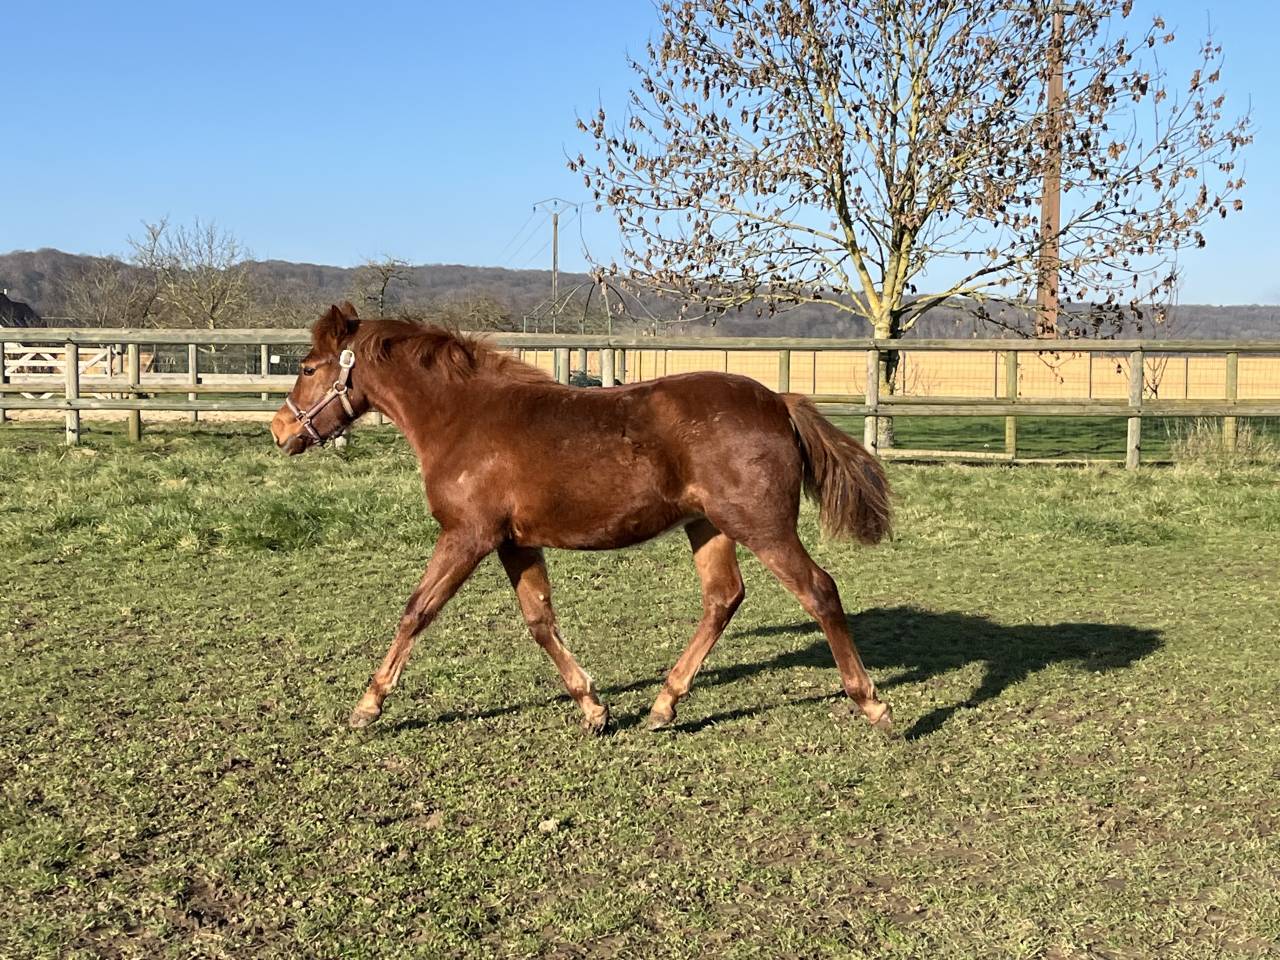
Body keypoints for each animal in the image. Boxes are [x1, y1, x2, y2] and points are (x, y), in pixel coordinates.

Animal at [270, 303, 894, 734]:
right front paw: (594, 708)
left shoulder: (467, 536)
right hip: (709, 526)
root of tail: (779, 402)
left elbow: (416, 612)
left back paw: (872, 703)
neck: (462, 419)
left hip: (761, 526)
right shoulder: (514, 543)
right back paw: (663, 705)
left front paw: (367, 705)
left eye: (307, 366)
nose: (280, 430)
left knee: (819, 590)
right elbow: (540, 620)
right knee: (723, 598)